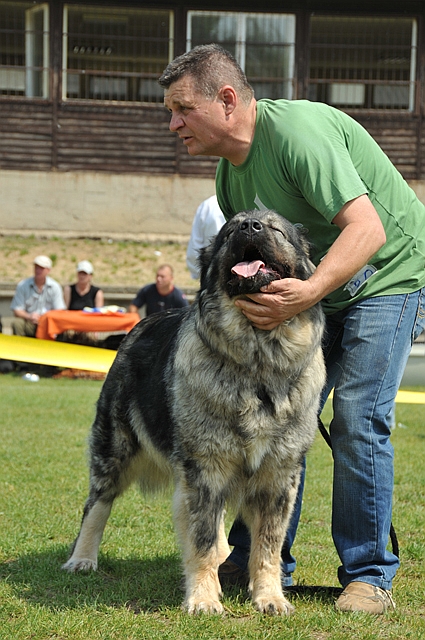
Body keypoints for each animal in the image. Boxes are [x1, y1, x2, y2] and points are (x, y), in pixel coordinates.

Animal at [62, 209, 326, 615]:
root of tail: (138, 326)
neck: (257, 360)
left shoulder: (278, 477)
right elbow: (201, 541)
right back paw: (83, 558)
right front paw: (203, 598)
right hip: (115, 449)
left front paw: (269, 597)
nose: (250, 227)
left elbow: (267, 547)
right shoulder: (205, 469)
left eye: (273, 227)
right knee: (97, 504)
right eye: (231, 230)